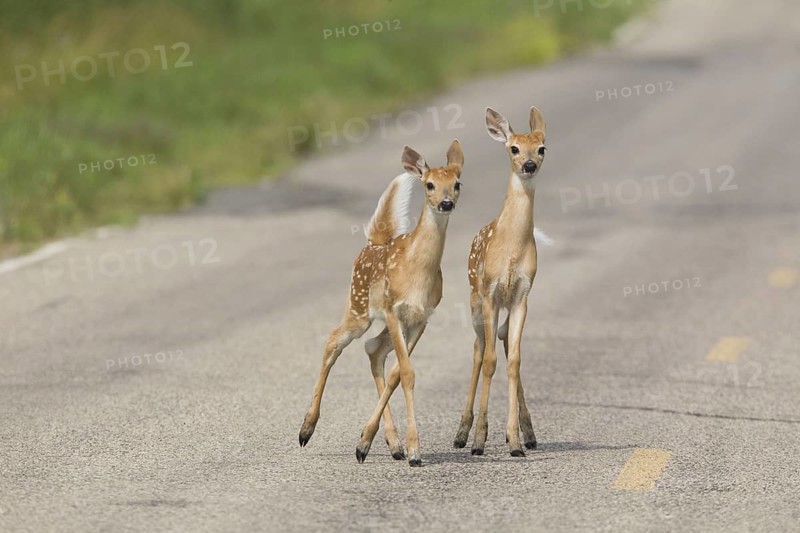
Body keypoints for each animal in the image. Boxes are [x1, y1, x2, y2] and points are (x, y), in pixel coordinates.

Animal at [299, 140, 464, 467]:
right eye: (429, 184)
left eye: (457, 184)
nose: (446, 203)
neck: (417, 272)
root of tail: (373, 243)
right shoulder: (393, 309)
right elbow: (408, 373)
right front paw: (415, 451)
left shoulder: (421, 318)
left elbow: (398, 373)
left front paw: (386, 444)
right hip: (358, 306)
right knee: (334, 340)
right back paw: (306, 429)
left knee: (374, 350)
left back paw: (387, 443)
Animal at [453, 107, 547, 457]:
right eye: (514, 148)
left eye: (541, 148)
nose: (529, 165)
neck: (510, 248)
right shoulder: (491, 292)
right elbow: (490, 361)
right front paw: (479, 439)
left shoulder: (522, 295)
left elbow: (515, 360)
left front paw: (515, 440)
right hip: (475, 299)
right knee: (479, 349)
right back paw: (462, 433)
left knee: (504, 340)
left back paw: (528, 432)